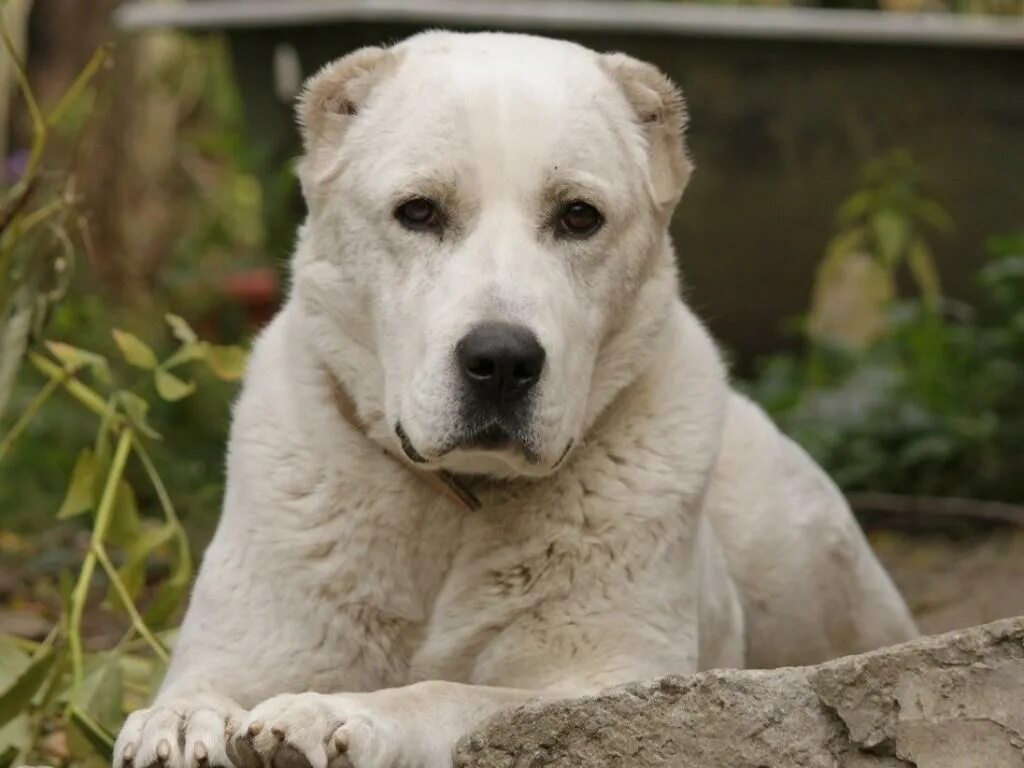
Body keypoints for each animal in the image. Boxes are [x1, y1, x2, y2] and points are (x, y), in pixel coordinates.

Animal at [114, 33, 921, 768]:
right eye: (418, 212)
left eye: (578, 216)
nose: (502, 360)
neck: (454, 505)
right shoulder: (244, 649)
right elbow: (196, 688)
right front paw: (182, 722)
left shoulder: (605, 688)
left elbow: (448, 694)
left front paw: (335, 713)